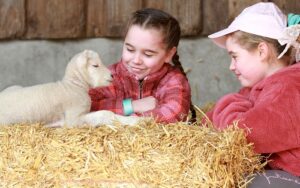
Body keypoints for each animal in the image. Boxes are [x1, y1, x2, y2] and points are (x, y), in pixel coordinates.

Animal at [0, 49, 142, 127]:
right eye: (95, 65)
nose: (112, 75)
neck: (73, 86)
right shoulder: (74, 119)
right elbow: (105, 114)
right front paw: (134, 120)